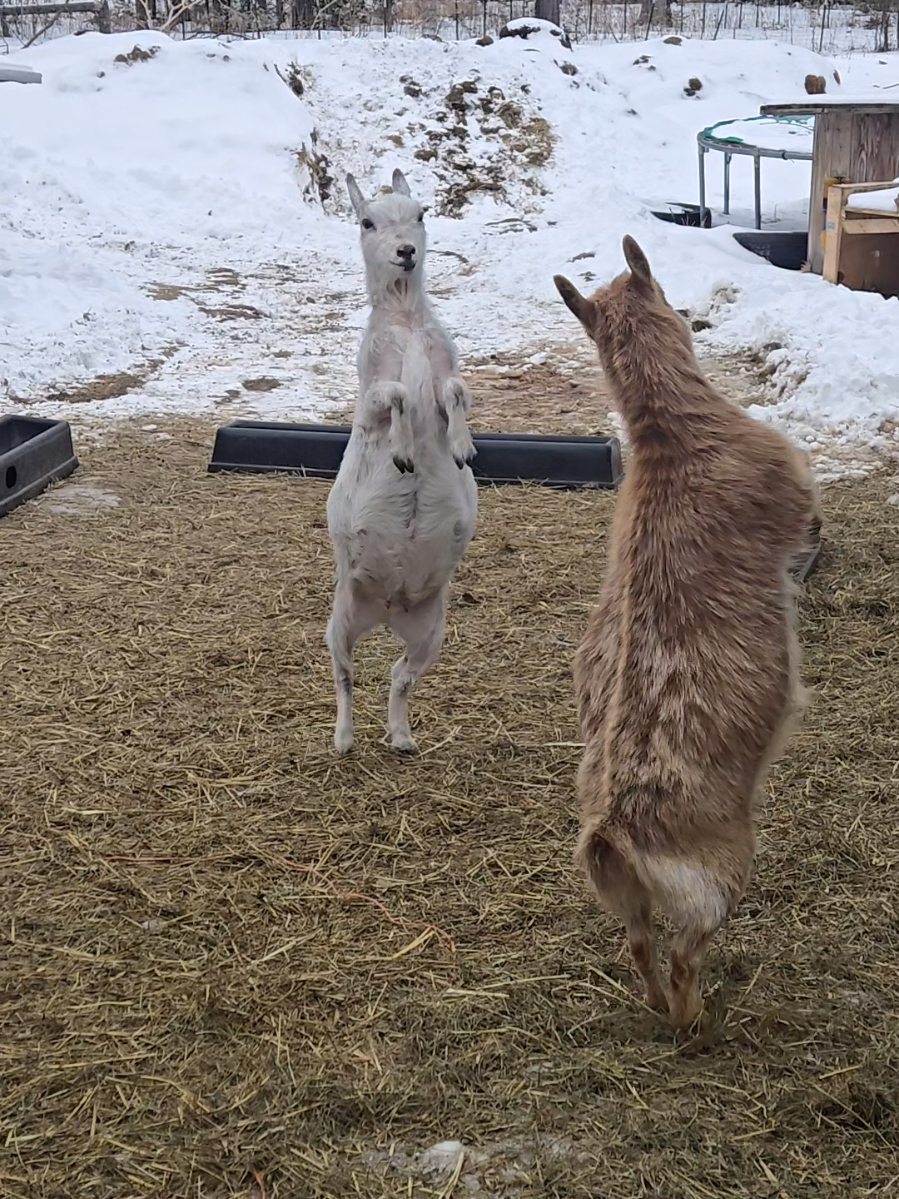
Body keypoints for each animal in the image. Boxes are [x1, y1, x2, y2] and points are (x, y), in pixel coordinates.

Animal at [325, 169, 478, 756]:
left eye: (422, 213)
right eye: (366, 221)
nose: (406, 252)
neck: (407, 320)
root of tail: (389, 606)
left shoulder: (448, 373)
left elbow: (455, 389)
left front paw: (461, 448)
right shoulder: (368, 397)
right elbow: (394, 395)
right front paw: (405, 453)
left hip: (432, 632)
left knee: (398, 677)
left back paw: (402, 737)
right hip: (339, 619)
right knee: (345, 675)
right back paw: (344, 740)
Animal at [554, 236, 822, 1028]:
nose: (686, 312)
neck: (669, 435)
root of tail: (612, 831)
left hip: (623, 898)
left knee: (640, 944)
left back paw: (657, 1006)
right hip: (717, 874)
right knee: (682, 951)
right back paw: (694, 1019)